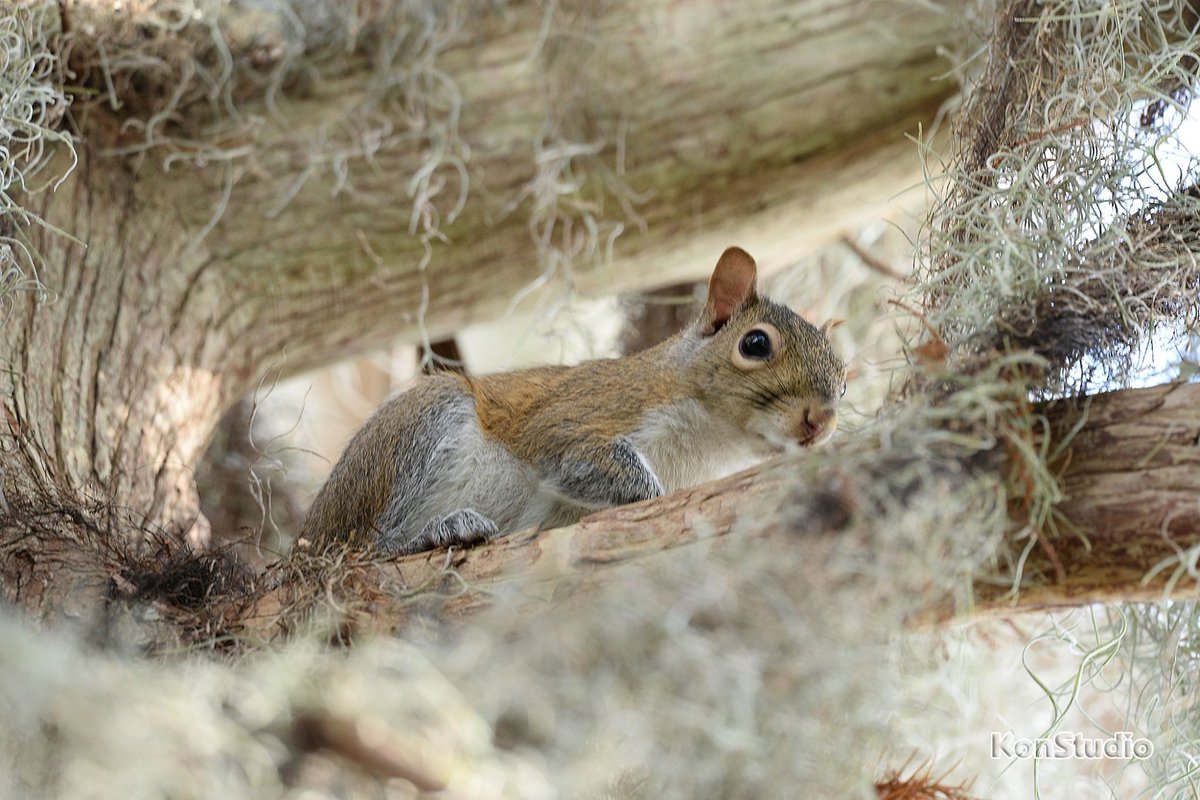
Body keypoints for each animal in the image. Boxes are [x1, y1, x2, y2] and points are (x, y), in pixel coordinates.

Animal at [300, 246, 847, 555]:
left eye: (843, 382)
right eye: (755, 344)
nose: (819, 421)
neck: (711, 444)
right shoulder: (586, 412)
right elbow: (572, 454)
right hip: (416, 434)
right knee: (362, 545)